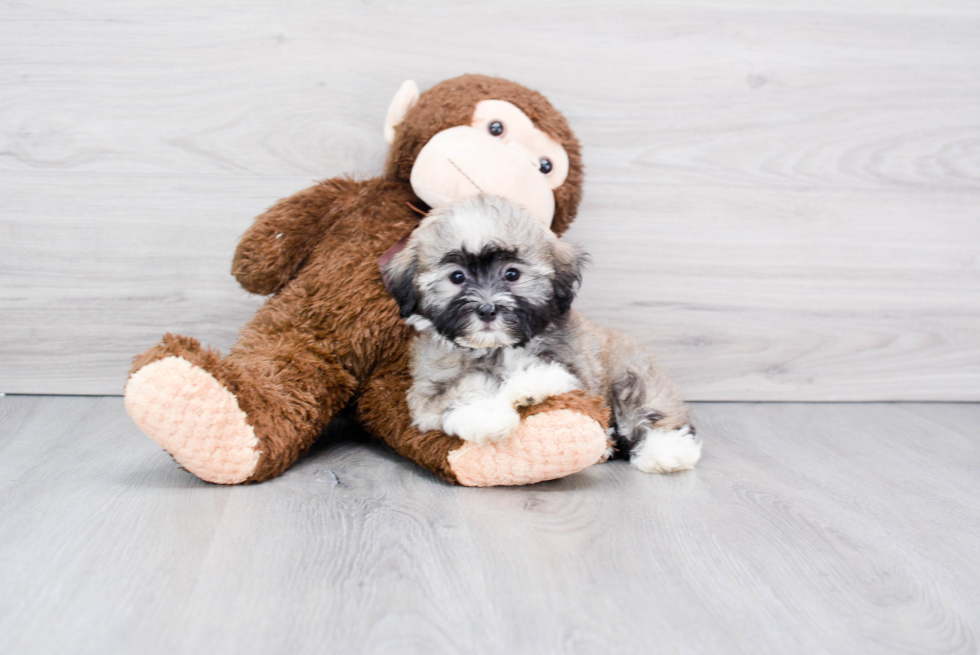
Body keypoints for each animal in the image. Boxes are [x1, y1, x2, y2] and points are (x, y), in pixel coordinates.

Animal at [384, 196, 704, 476]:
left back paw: (666, 451)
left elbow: (549, 369)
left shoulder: (578, 367)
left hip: (631, 372)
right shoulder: (426, 392)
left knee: (646, 408)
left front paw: (525, 387)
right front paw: (488, 416)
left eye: (512, 274)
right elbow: (465, 387)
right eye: (457, 277)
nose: (487, 309)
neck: (497, 347)